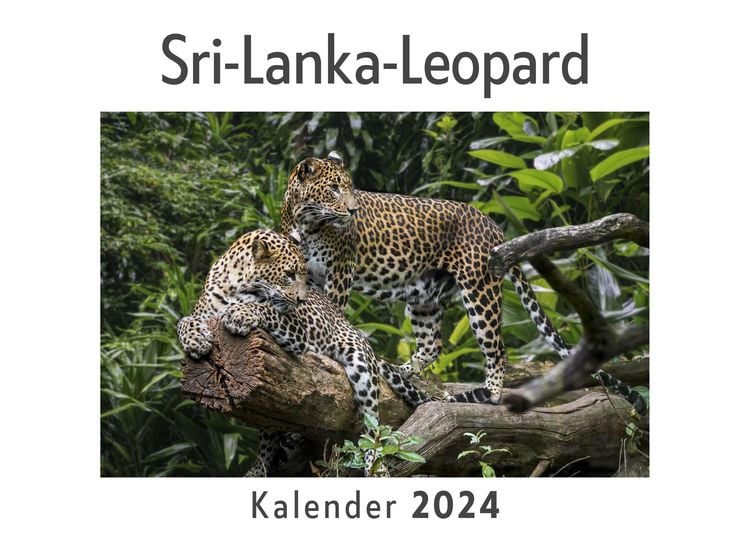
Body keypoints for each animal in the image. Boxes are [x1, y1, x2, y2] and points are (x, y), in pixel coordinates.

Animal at [177, 228, 441, 476]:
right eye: (289, 274)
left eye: (304, 276)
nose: (302, 300)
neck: (235, 286)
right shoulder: (203, 313)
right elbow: (184, 321)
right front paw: (195, 340)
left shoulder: (297, 328)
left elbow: (265, 309)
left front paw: (240, 315)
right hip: (267, 401)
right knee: (269, 431)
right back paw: (260, 469)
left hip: (360, 365)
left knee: (371, 424)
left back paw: (376, 466)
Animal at [280, 151, 647, 414]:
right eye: (333, 189)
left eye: (350, 188)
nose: (354, 211)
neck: (305, 221)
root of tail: (491, 223)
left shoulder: (340, 272)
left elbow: (334, 311)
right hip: (425, 294)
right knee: (432, 344)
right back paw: (405, 371)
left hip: (479, 288)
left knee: (497, 348)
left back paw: (488, 393)